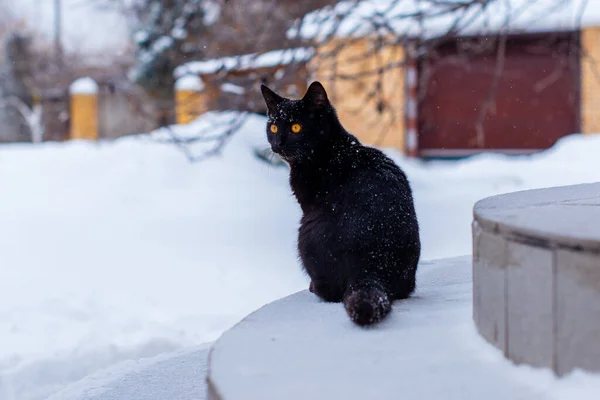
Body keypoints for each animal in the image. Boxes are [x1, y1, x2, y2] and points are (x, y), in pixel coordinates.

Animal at [260, 81, 420, 324]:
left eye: (296, 127)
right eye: (274, 127)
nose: (277, 144)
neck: (331, 148)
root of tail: (371, 266)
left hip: (305, 232)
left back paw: (314, 287)